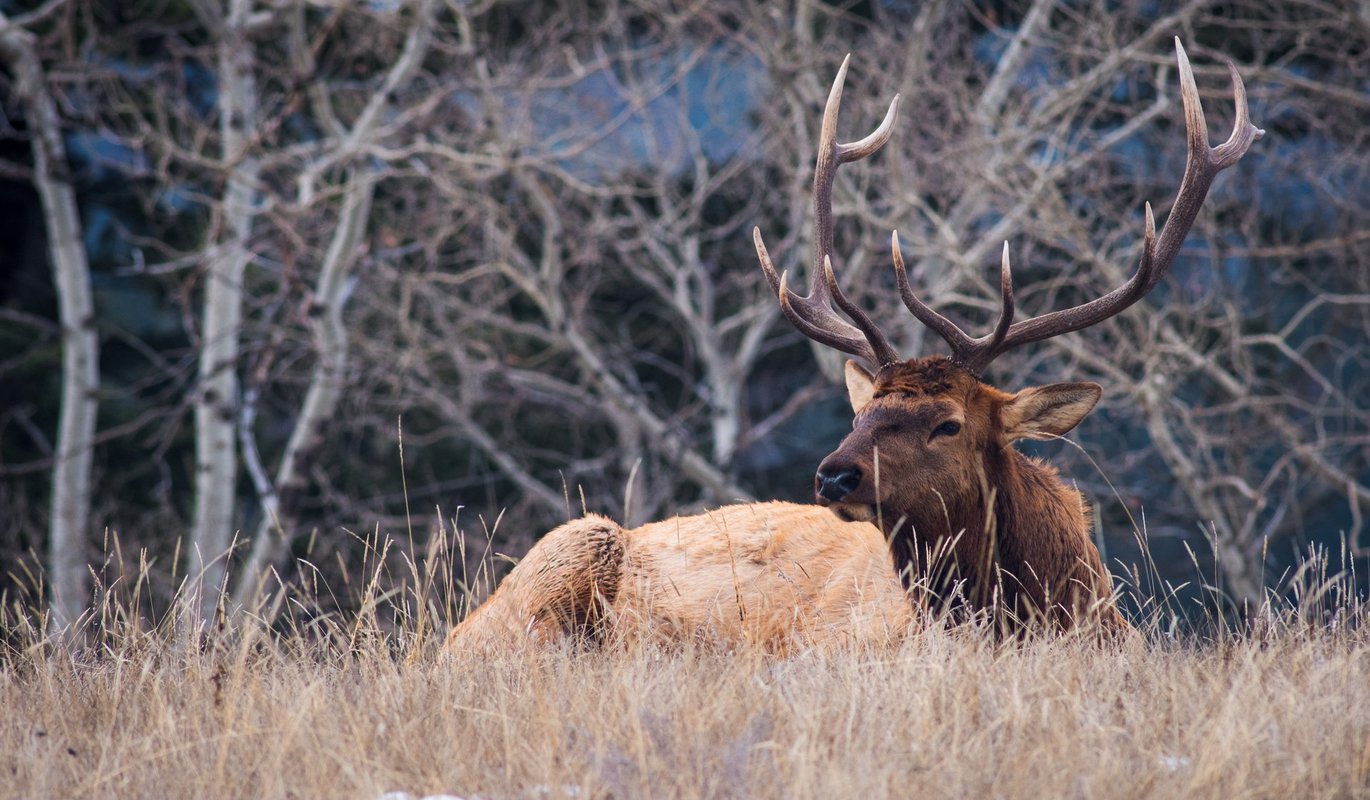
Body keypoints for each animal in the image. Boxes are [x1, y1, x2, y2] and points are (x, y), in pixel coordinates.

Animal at [443, 40, 1254, 652]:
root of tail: (453, 639)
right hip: (564, 553)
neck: (1052, 610)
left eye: (949, 423)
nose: (833, 474)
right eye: (863, 413)